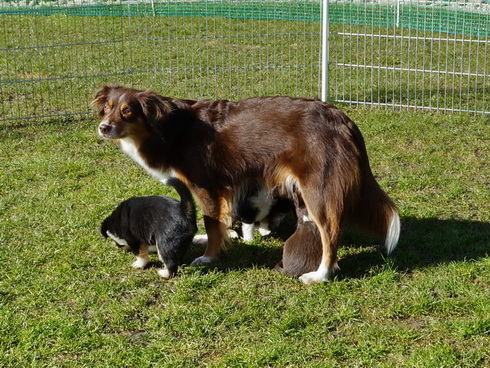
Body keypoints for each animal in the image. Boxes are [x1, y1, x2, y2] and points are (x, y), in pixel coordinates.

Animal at [94, 85, 400, 284]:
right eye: (107, 109)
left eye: (128, 112)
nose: (103, 127)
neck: (170, 127)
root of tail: (342, 117)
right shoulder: (225, 187)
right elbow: (222, 220)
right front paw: (223, 236)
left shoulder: (205, 185)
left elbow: (211, 223)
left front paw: (208, 256)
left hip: (318, 189)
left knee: (331, 233)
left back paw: (320, 275)